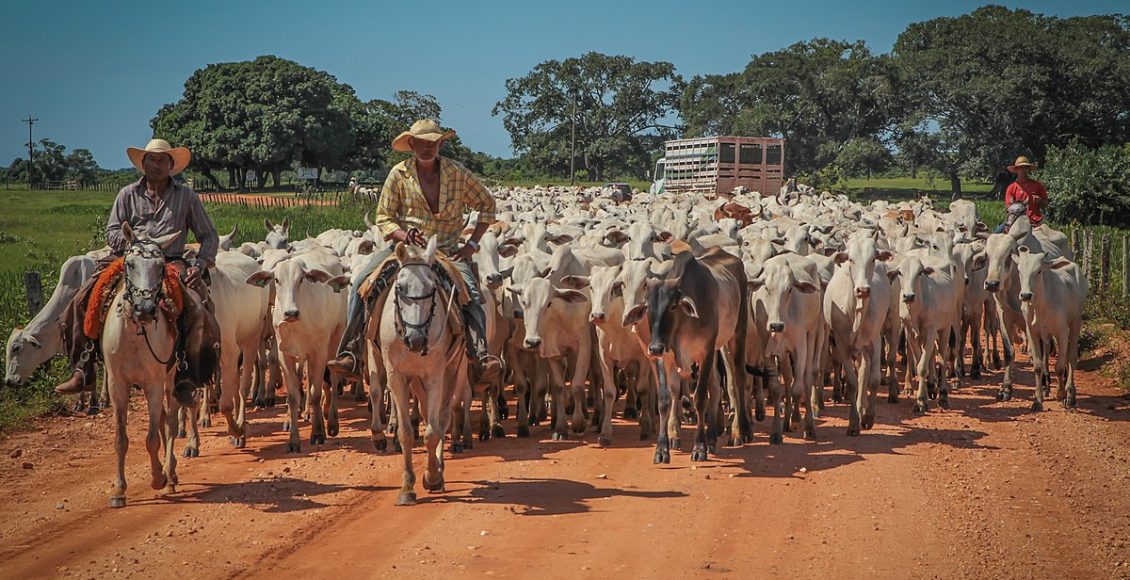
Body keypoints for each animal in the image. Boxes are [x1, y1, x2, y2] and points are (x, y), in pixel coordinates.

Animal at [103, 224, 189, 506]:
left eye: (161, 266)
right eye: (130, 263)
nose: (145, 309)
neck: (134, 335)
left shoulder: (153, 383)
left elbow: (152, 438)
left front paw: (158, 478)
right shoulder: (117, 384)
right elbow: (120, 439)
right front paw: (119, 490)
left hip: (170, 379)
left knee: (170, 421)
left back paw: (170, 475)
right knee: (162, 419)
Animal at [379, 237, 467, 504]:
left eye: (432, 287)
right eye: (400, 287)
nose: (415, 339)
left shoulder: (435, 376)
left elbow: (432, 432)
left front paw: (432, 476)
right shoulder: (396, 377)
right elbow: (406, 433)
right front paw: (407, 488)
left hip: (454, 374)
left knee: (442, 419)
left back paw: (439, 470)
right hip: (416, 382)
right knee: (431, 417)